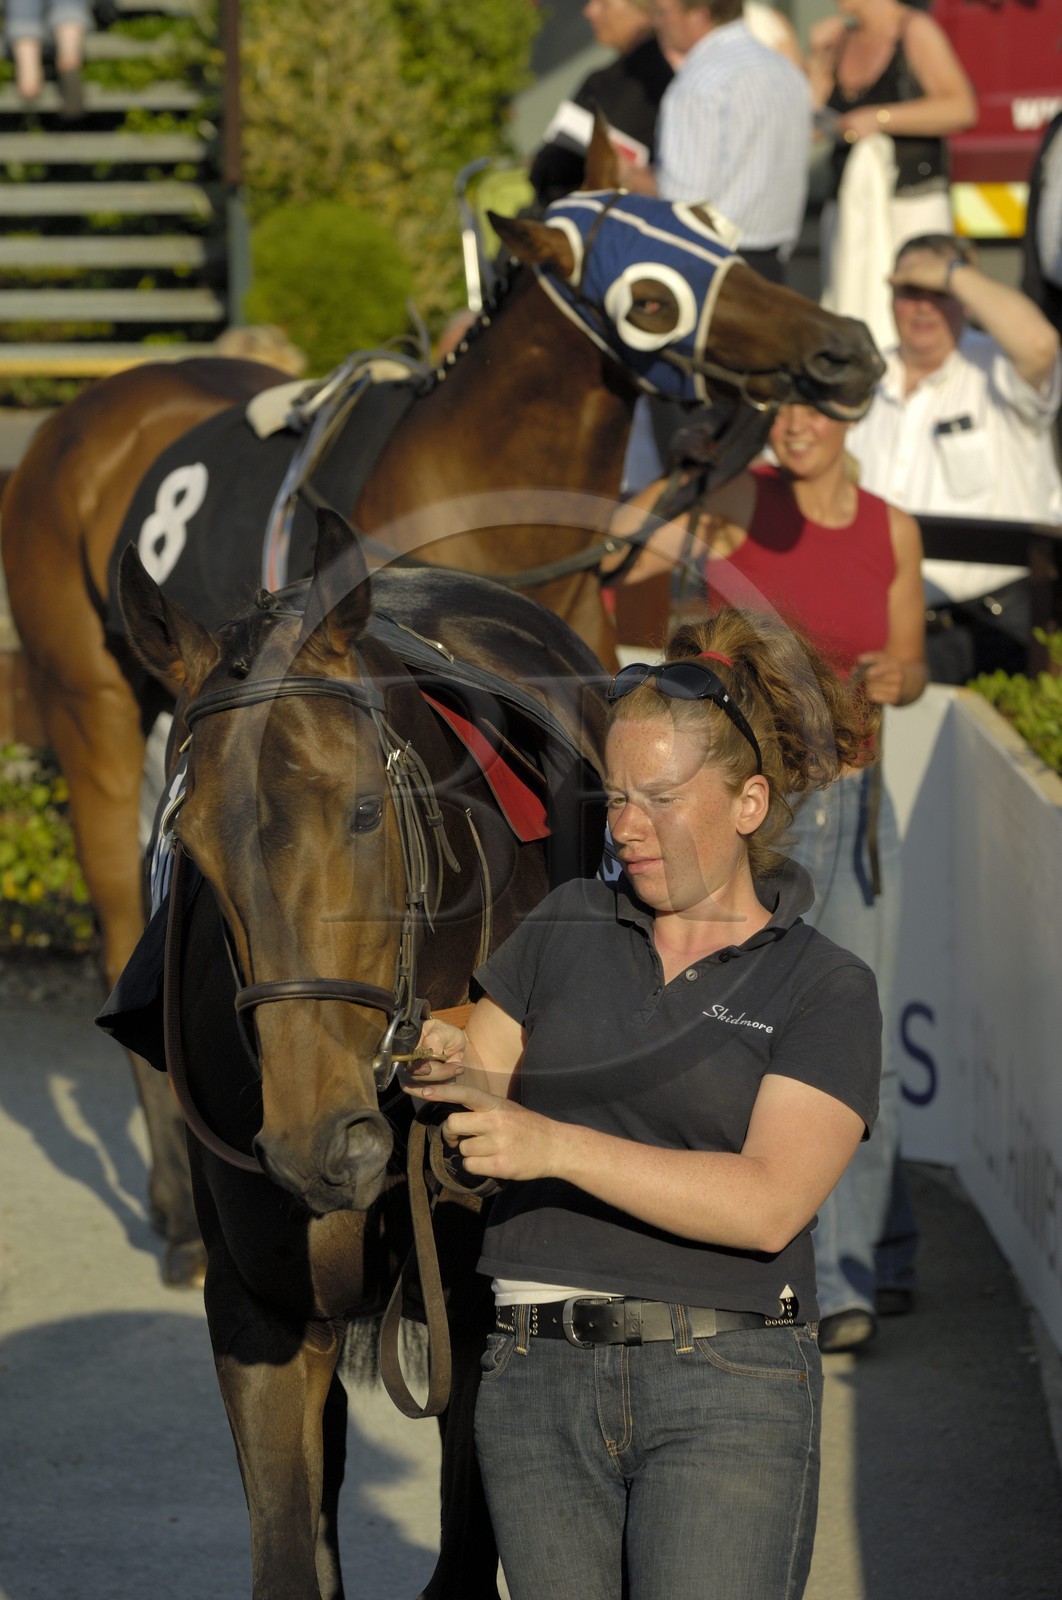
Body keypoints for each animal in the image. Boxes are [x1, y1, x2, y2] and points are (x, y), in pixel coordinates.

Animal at [1, 128, 883, 1281]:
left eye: (715, 226)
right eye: (648, 299)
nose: (846, 351)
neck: (488, 509)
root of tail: (85, 407)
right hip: (90, 709)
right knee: (115, 925)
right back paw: (178, 1217)